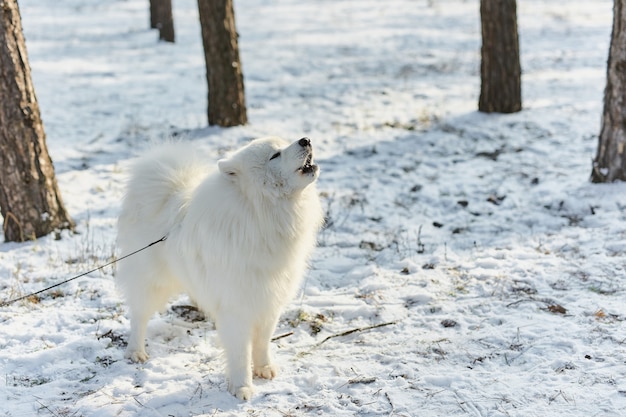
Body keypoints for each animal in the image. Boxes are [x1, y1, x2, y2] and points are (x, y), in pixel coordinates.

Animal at [114, 137, 324, 400]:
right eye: (275, 155)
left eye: (286, 142)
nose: (306, 140)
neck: (260, 214)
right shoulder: (237, 308)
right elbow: (240, 353)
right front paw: (242, 387)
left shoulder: (269, 300)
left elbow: (263, 342)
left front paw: (264, 368)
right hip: (151, 282)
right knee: (138, 317)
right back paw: (135, 351)